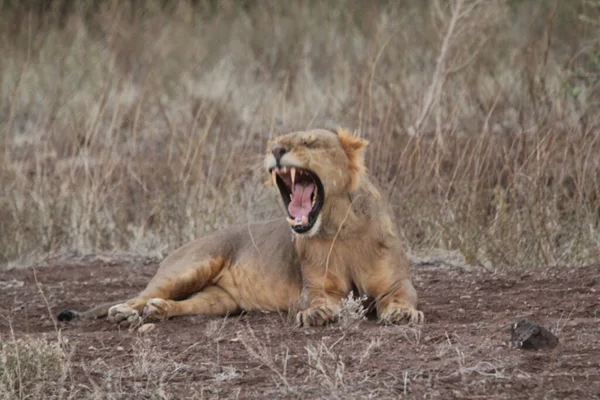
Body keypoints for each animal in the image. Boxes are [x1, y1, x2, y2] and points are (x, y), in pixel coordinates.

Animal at [55, 128, 422, 328]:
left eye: (309, 142)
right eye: (277, 141)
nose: (276, 150)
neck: (339, 228)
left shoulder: (395, 283)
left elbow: (401, 296)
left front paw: (404, 315)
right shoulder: (318, 287)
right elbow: (319, 300)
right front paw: (316, 315)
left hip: (220, 301)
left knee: (181, 304)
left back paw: (158, 311)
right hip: (190, 267)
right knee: (138, 296)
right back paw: (125, 313)